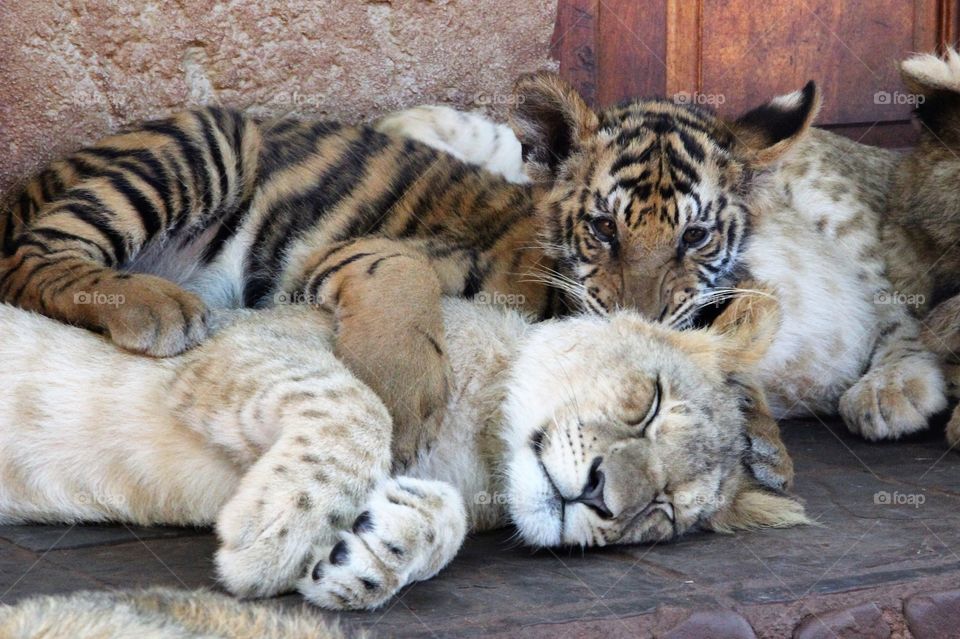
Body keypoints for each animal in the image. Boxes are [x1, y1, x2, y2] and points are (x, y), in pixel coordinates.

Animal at [0, 289, 805, 610]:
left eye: (663, 512)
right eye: (650, 402)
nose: (604, 496)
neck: (477, 444)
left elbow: (443, 513)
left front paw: (371, 552)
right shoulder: (235, 339)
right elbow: (356, 404)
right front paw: (275, 534)